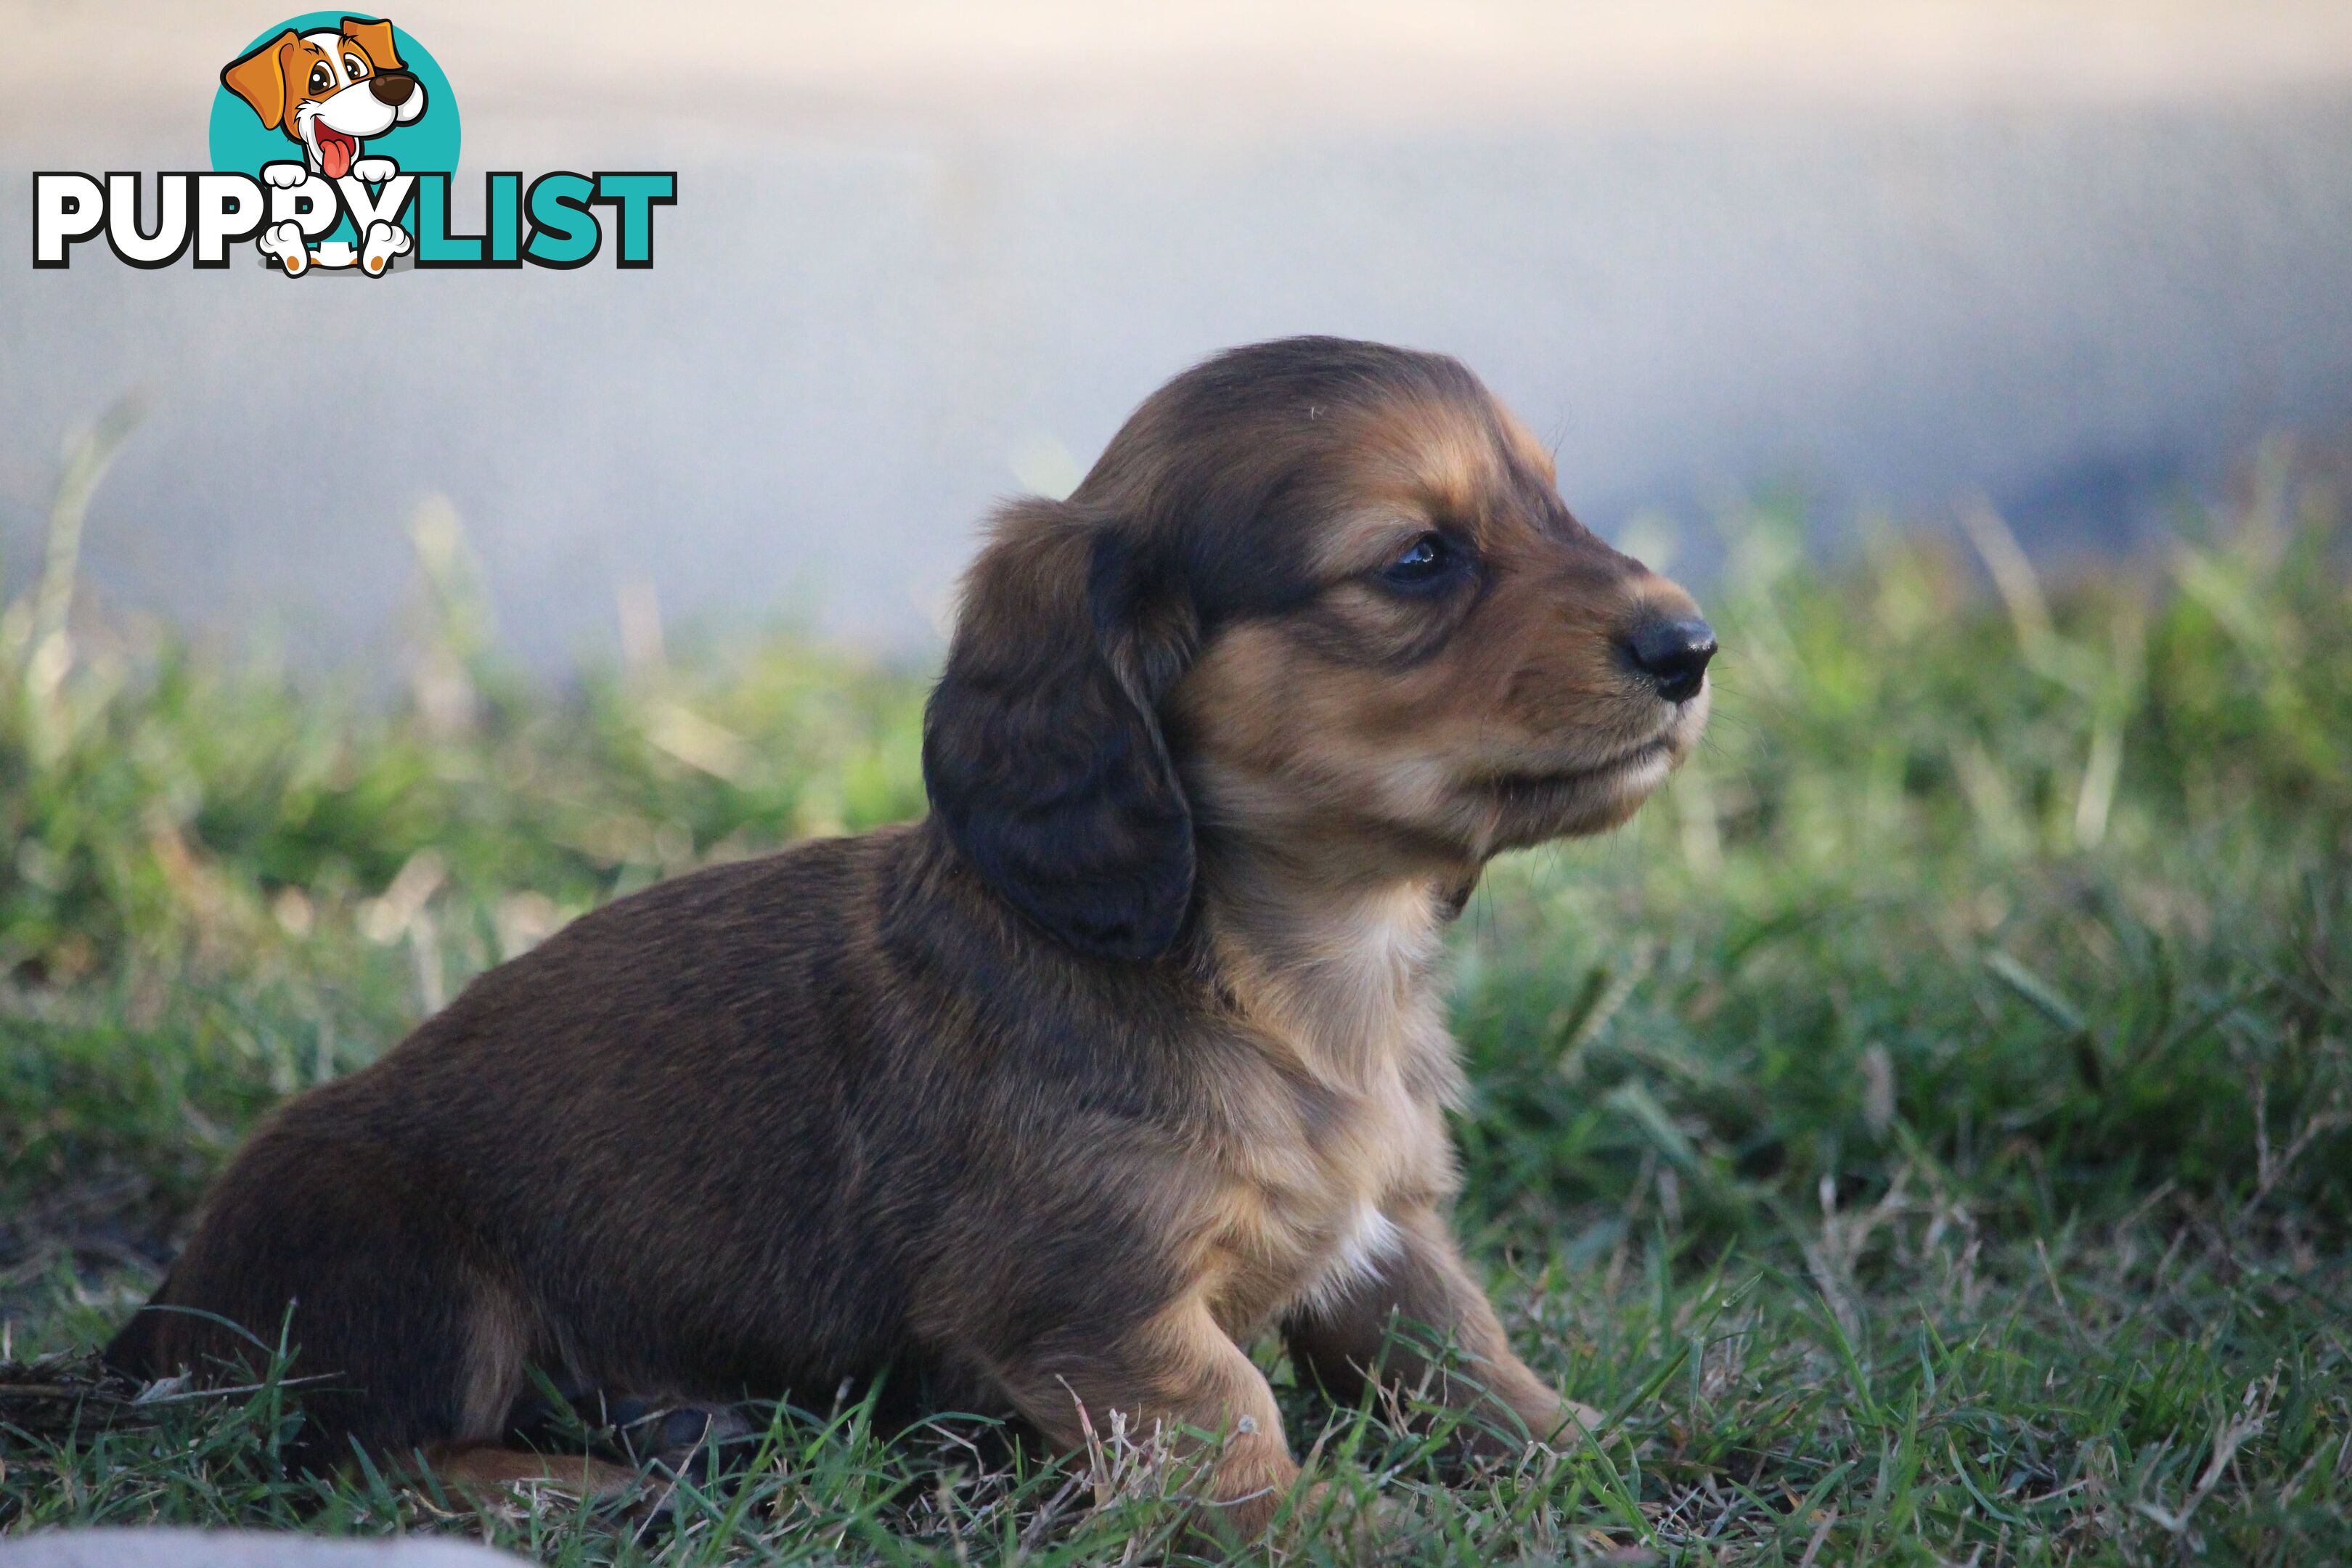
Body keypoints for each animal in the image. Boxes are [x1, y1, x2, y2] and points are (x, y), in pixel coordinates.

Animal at [105, 340, 1712, 1532]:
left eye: (1555, 507)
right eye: (1419, 560)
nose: (1691, 647)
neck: (1282, 970)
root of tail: (161, 1325)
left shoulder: (1388, 1230)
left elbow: (1466, 1353)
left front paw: (1602, 1442)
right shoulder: (1098, 1307)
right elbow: (1234, 1422)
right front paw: (1351, 1526)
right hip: (404, 1248)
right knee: (379, 1456)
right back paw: (595, 1478)